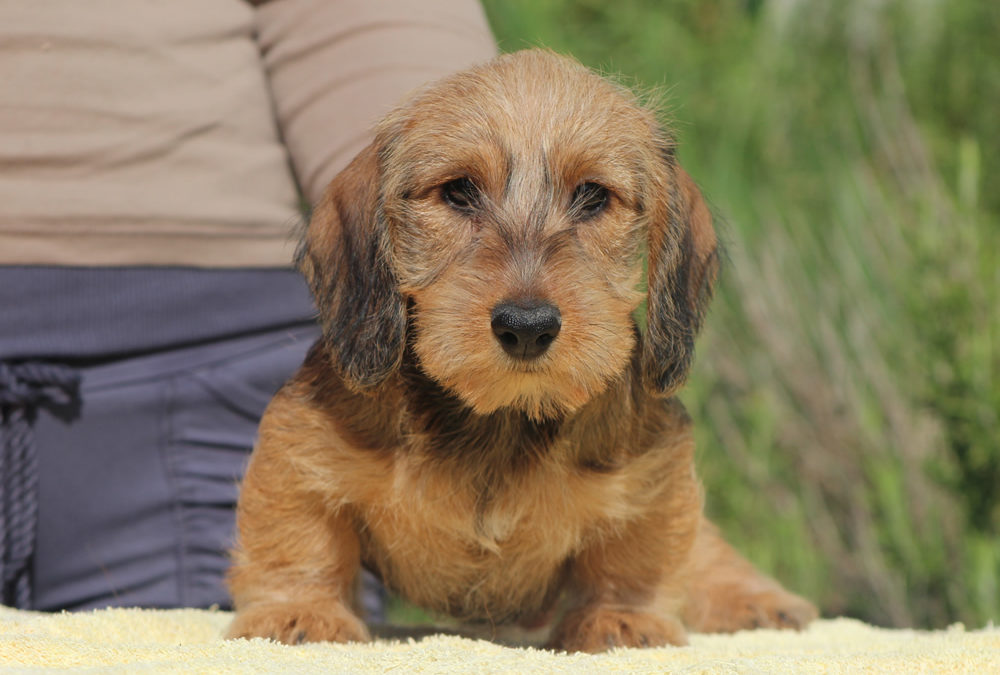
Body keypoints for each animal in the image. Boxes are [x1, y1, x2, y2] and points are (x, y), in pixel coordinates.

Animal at [223, 51, 816, 656]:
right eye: (459, 191)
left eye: (594, 195)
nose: (527, 327)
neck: (501, 422)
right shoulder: (300, 447)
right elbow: (297, 538)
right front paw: (298, 612)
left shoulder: (655, 470)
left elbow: (635, 557)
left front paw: (624, 619)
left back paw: (756, 599)